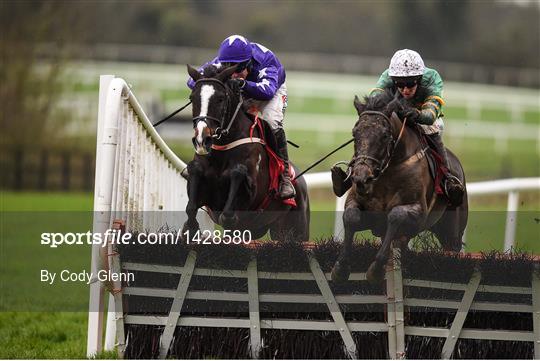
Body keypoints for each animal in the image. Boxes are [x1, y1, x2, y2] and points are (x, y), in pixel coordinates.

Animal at [330, 90, 468, 284]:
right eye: (355, 133)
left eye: (384, 135)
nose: (362, 177)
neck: (390, 168)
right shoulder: (362, 207)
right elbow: (351, 217)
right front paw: (340, 268)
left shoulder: (418, 213)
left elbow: (395, 216)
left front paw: (376, 269)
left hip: (451, 231)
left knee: (452, 246)